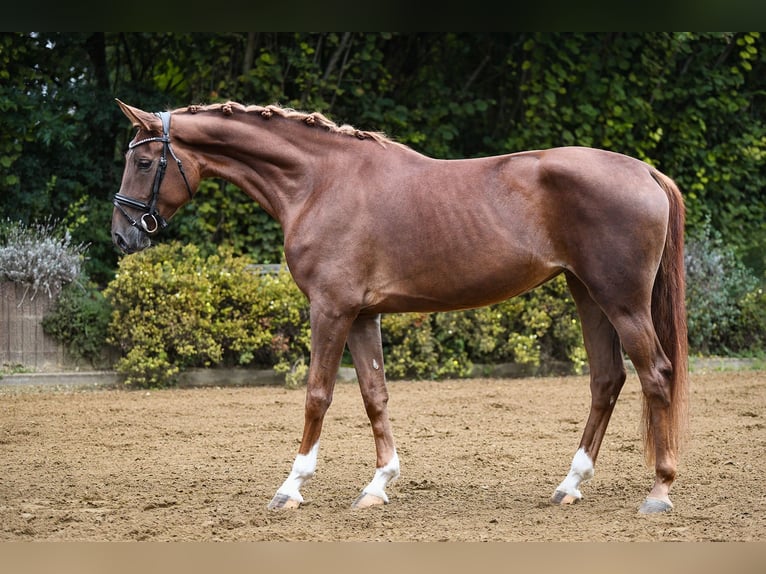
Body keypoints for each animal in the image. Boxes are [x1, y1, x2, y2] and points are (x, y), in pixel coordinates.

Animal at [112, 101, 688, 516]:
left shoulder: (330, 310)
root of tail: (645, 171)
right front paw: (378, 485)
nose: (121, 235)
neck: (319, 182)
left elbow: (317, 395)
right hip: (587, 294)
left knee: (656, 374)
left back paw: (659, 491)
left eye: (143, 161)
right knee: (607, 379)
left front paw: (291, 487)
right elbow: (374, 395)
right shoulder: (363, 315)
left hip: (621, 301)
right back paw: (570, 483)